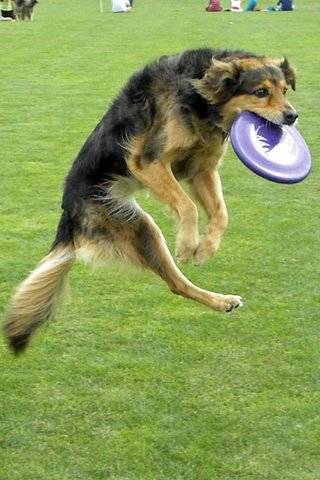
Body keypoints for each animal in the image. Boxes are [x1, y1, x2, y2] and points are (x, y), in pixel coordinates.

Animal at [3, 48, 298, 354]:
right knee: (175, 280)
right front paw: (187, 245)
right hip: (137, 225)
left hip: (138, 228)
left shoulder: (201, 170)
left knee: (177, 285)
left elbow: (221, 214)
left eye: (285, 90)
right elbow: (187, 206)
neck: (199, 97)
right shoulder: (148, 162)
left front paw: (205, 249)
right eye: (261, 92)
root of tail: (69, 212)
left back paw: (221, 301)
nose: (292, 116)